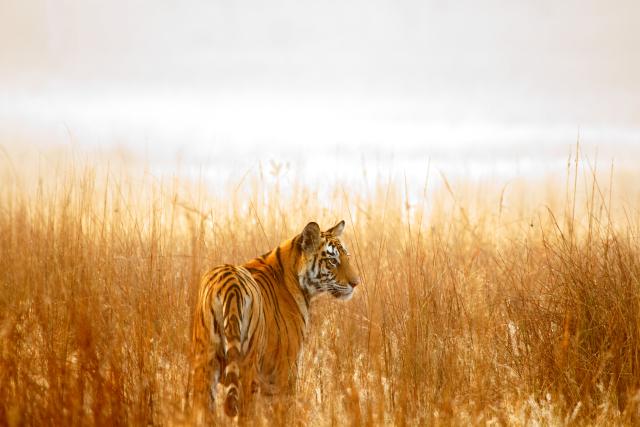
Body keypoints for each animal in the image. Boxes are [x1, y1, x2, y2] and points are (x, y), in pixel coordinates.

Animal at [191, 220, 360, 417]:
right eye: (332, 261)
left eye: (347, 257)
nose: (356, 283)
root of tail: (230, 282)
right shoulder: (285, 368)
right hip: (248, 367)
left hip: (204, 363)